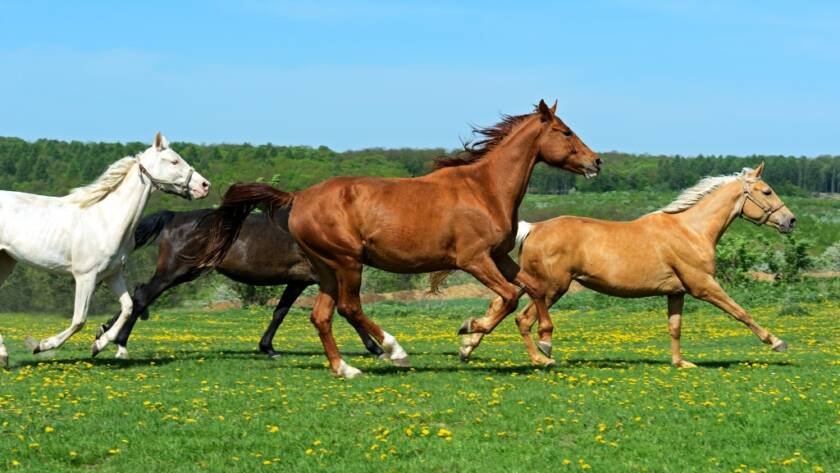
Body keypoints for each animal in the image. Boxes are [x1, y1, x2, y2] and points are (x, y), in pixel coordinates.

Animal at [0, 133, 209, 366]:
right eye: (174, 161)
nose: (205, 185)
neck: (107, 220)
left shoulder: (113, 273)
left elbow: (128, 307)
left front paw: (100, 344)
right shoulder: (85, 276)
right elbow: (79, 319)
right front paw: (41, 346)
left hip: (6, 261)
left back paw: (4, 356)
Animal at [95, 206, 380, 358]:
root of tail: (175, 217)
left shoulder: (297, 281)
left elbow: (280, 312)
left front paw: (268, 348)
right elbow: (347, 310)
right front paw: (375, 348)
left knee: (138, 294)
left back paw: (106, 331)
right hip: (175, 272)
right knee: (143, 296)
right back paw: (119, 341)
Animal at [197, 99, 604, 376]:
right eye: (565, 131)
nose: (596, 162)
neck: (484, 189)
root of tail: (298, 197)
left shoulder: (500, 257)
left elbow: (532, 289)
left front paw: (543, 345)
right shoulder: (473, 259)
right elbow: (508, 297)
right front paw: (469, 334)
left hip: (325, 268)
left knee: (321, 315)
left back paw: (345, 368)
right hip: (348, 262)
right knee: (349, 308)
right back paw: (394, 351)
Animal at [446, 162, 796, 366]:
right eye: (767, 191)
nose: (790, 221)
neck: (691, 230)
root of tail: (534, 228)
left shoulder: (677, 291)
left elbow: (675, 327)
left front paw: (681, 364)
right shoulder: (703, 285)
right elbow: (740, 312)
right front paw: (777, 342)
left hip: (532, 281)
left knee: (499, 305)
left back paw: (468, 343)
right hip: (552, 287)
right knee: (522, 318)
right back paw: (541, 357)